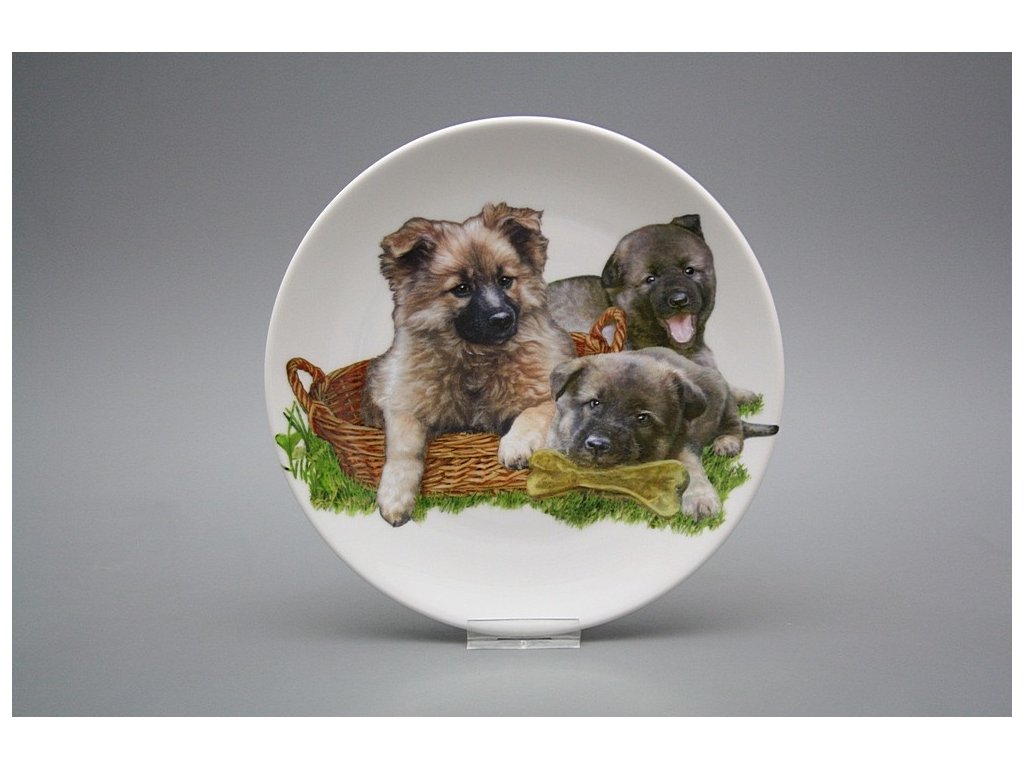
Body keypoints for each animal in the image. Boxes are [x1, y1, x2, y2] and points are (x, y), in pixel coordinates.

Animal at [361, 203, 576, 526]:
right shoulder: (402, 404)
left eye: (505, 281)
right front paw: (395, 497)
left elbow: (535, 411)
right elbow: (404, 448)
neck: (478, 360)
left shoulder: (549, 393)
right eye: (462, 288)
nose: (502, 319)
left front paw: (516, 444)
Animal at [546, 347, 777, 520]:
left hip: (723, 397)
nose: (598, 446)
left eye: (642, 417)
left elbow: (690, 468)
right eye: (594, 403)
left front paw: (700, 498)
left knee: (734, 424)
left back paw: (727, 442)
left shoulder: (683, 444)